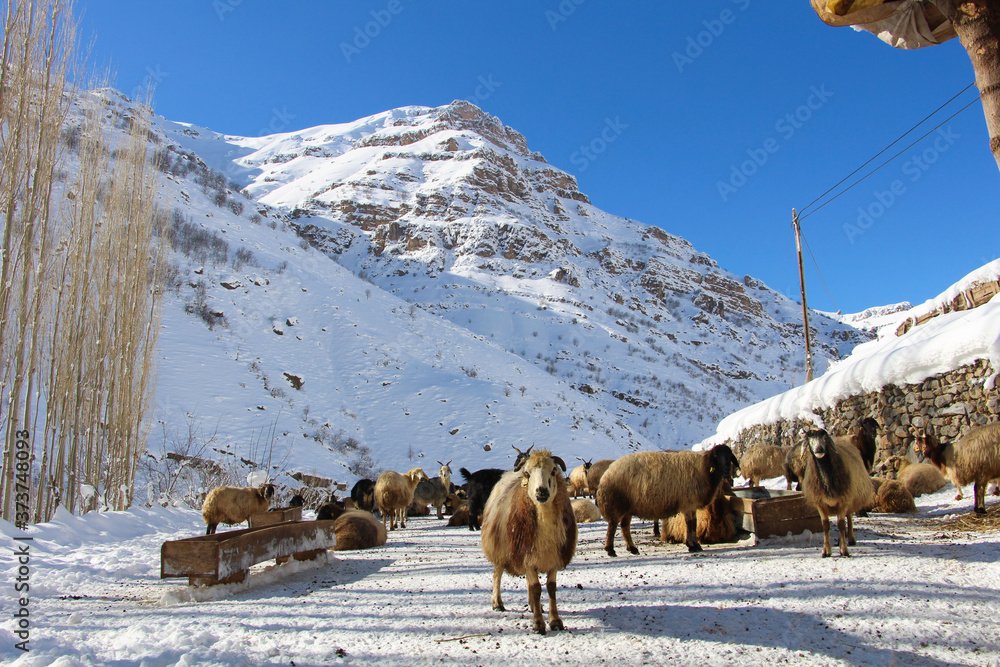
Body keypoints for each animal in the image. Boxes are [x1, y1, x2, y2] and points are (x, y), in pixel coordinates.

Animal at [481, 449, 576, 635]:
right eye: (527, 473)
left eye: (553, 470)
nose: (542, 491)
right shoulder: (526, 557)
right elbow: (536, 588)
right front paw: (538, 624)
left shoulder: (553, 558)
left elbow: (551, 588)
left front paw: (555, 621)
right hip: (500, 549)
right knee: (497, 575)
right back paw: (497, 603)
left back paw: (533, 605)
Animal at [596, 444, 739, 556]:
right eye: (716, 456)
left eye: (729, 456)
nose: (727, 471)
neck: (704, 468)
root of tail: (608, 472)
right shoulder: (688, 503)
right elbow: (690, 524)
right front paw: (692, 546)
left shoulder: (691, 505)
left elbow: (694, 524)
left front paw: (695, 545)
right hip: (616, 504)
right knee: (612, 526)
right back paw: (610, 550)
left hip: (628, 508)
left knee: (624, 527)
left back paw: (632, 548)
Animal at [801, 429, 875, 557]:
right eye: (809, 437)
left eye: (824, 437)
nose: (819, 449)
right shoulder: (820, 503)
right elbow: (825, 525)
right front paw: (826, 551)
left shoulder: (844, 500)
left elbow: (841, 524)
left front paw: (844, 550)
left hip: (850, 497)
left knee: (848, 518)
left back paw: (850, 539)